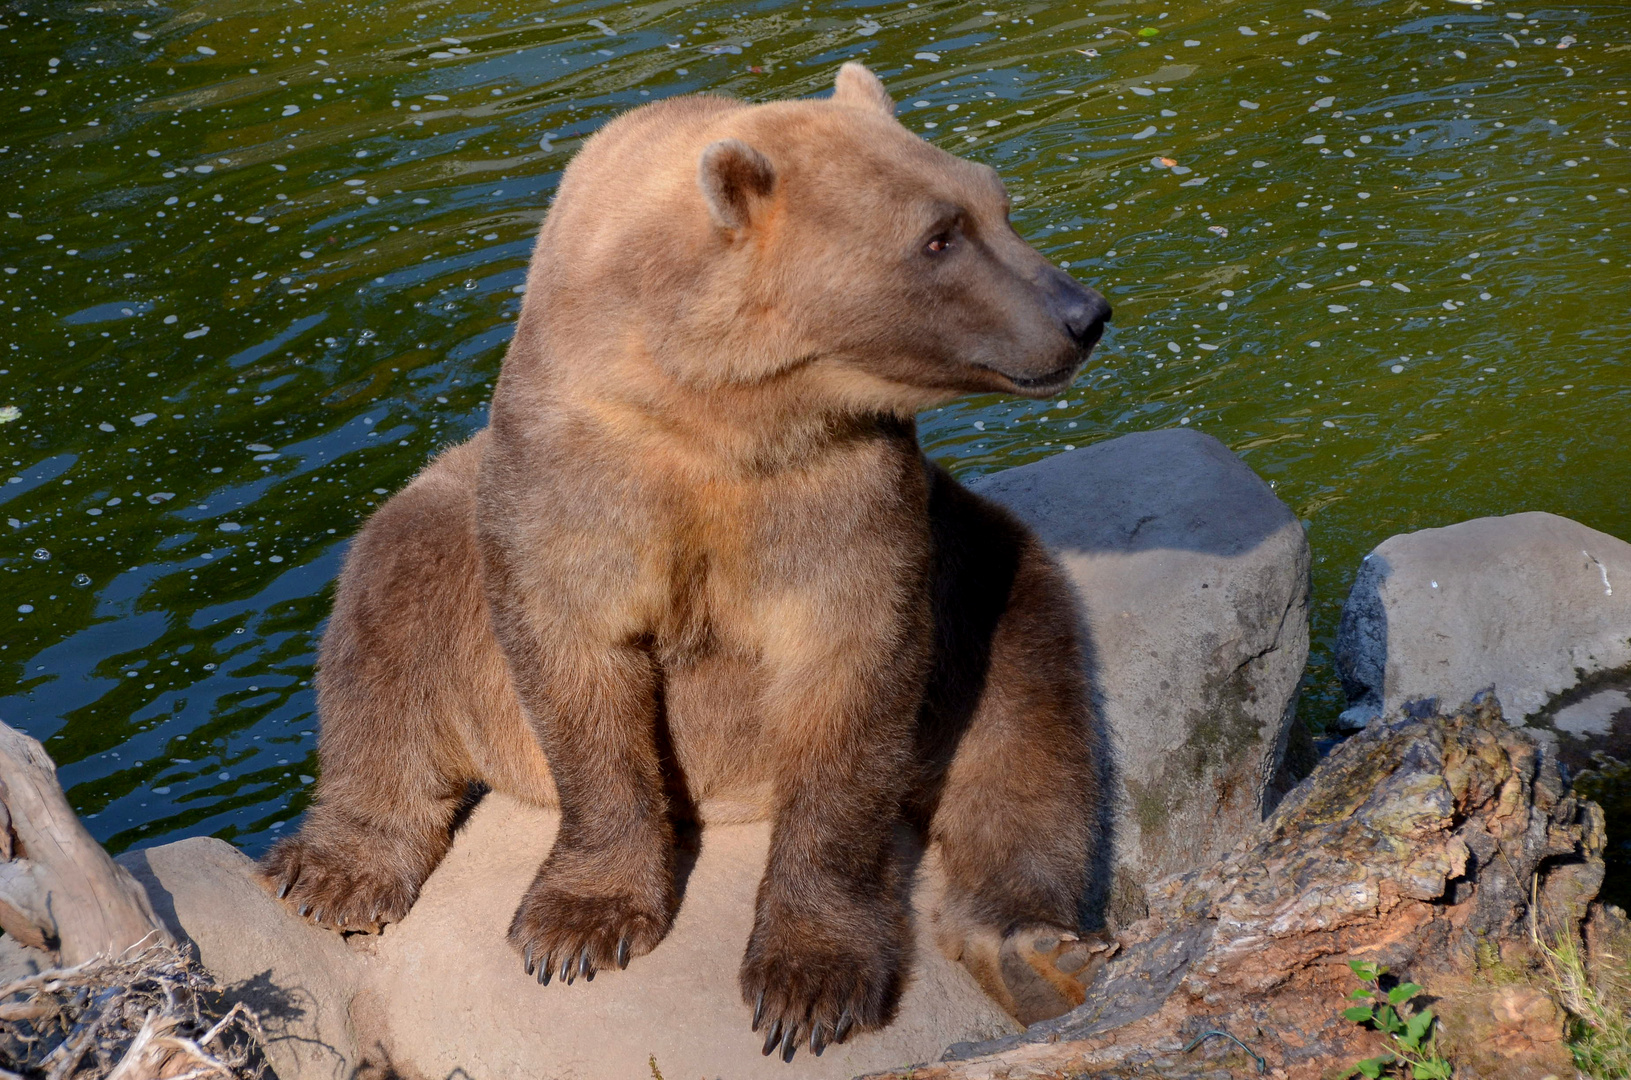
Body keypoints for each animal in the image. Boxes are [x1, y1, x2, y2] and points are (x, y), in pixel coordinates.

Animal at [260, 63, 1115, 1063]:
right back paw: (331, 871)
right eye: (939, 234)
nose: (1083, 313)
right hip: (445, 544)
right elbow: (577, 668)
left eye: (996, 205)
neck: (718, 404)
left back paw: (1033, 946)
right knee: (384, 623)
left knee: (1025, 720)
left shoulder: (850, 492)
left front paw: (807, 981)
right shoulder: (579, 477)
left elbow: (851, 679)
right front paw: (577, 923)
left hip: (976, 567)